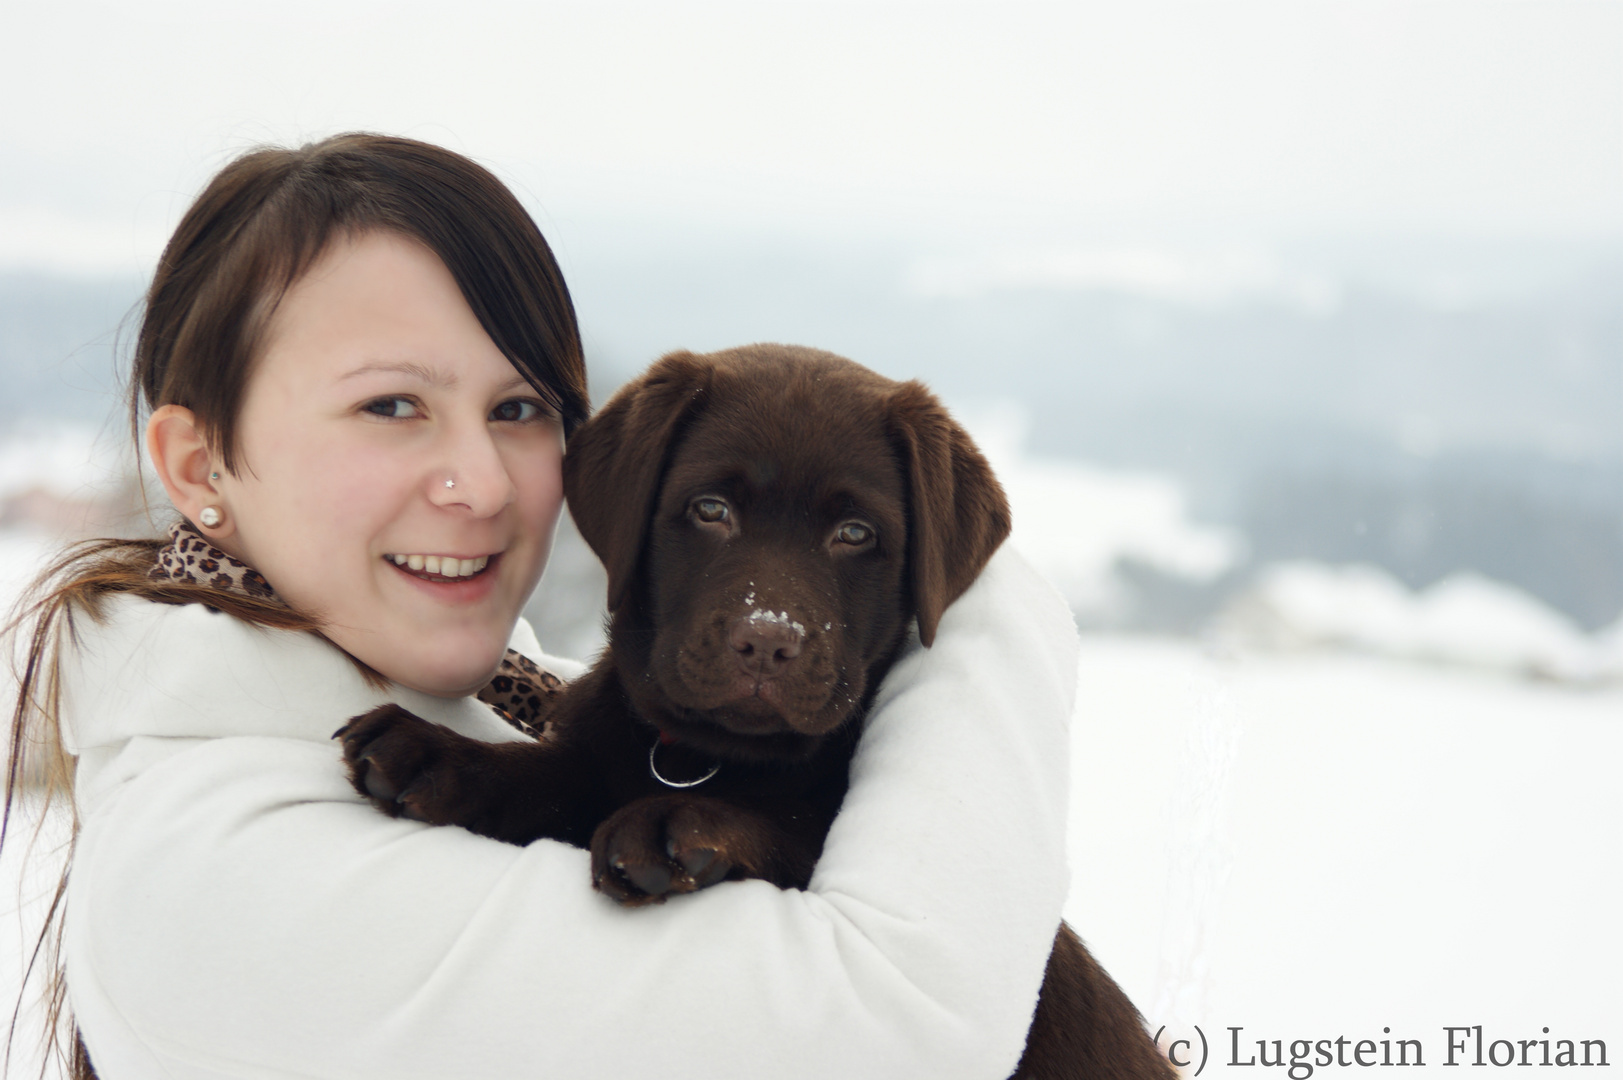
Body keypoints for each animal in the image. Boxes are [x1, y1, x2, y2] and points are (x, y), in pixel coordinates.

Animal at [335, 345, 1175, 1078]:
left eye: (855, 533)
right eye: (711, 509)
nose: (768, 640)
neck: (698, 757)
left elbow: (790, 832)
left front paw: (673, 827)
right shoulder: (593, 757)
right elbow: (544, 774)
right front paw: (432, 751)